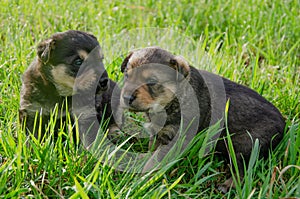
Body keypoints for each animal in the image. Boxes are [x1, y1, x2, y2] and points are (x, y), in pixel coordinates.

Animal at [118, 45, 284, 192]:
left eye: (152, 82)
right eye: (127, 75)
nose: (126, 98)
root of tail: (283, 124)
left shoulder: (176, 137)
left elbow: (156, 159)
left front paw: (141, 178)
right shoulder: (159, 132)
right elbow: (152, 149)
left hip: (248, 144)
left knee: (244, 170)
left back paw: (227, 186)